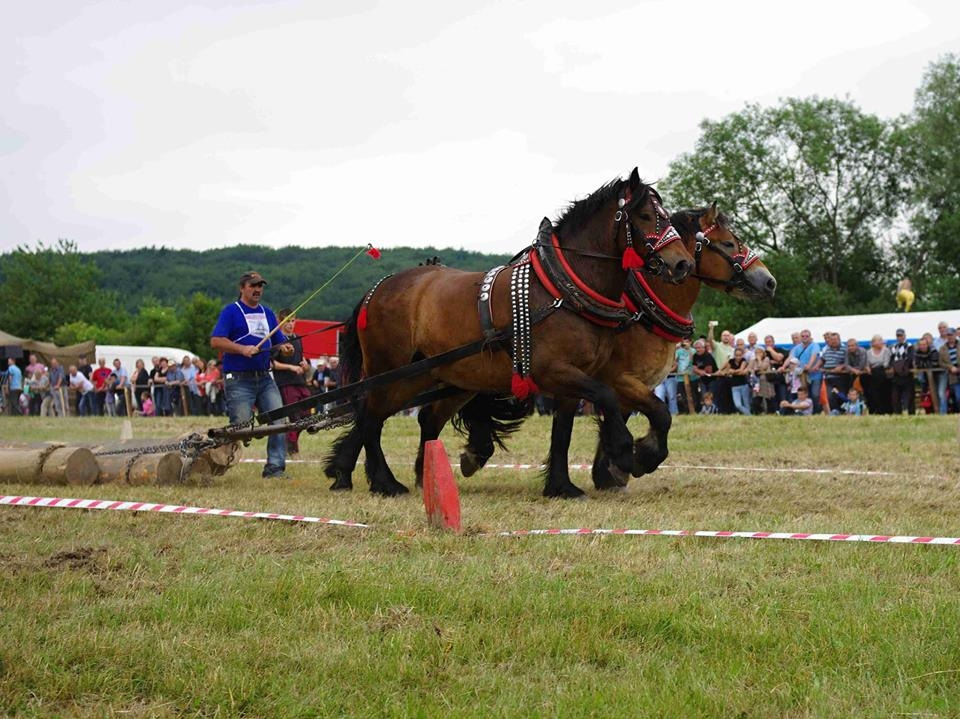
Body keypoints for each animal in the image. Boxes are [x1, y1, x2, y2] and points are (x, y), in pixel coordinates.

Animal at [323, 169, 696, 496]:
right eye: (645, 215)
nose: (682, 264)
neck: (562, 290)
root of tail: (378, 288)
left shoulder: (578, 377)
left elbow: (567, 431)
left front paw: (563, 486)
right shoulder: (556, 371)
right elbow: (606, 398)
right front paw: (624, 454)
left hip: (425, 375)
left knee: (386, 415)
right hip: (390, 370)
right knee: (370, 416)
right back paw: (384, 482)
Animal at [429, 204, 777, 497]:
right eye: (729, 244)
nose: (769, 281)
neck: (640, 311)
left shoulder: (629, 386)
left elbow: (620, 420)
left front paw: (609, 471)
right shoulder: (619, 380)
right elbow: (660, 415)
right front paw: (637, 459)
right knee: (435, 415)